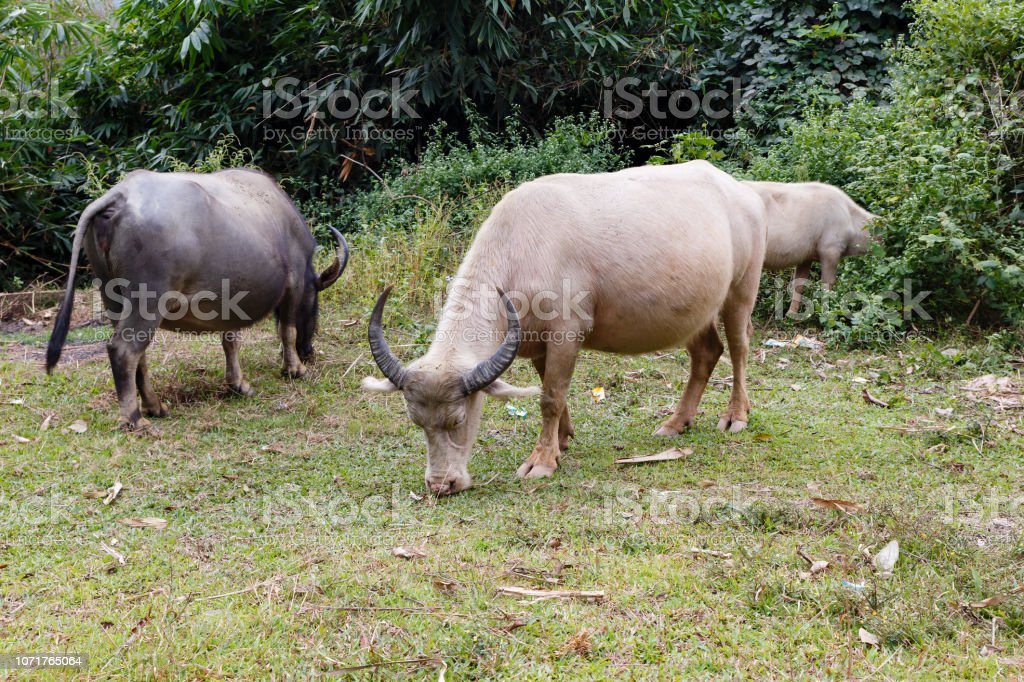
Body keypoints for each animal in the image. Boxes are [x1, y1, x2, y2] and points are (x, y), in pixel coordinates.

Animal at [46, 166, 350, 428]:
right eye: (314, 305)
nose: (308, 352)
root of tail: (119, 197)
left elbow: (231, 341)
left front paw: (239, 385)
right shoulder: (294, 285)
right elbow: (287, 330)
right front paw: (295, 369)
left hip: (113, 299)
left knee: (137, 354)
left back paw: (155, 406)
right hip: (147, 302)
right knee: (124, 350)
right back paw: (136, 418)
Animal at [364, 161, 765, 497]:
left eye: (458, 419)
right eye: (417, 422)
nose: (440, 484)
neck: (519, 254)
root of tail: (740, 191)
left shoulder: (566, 334)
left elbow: (550, 398)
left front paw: (540, 461)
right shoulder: (534, 342)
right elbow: (549, 389)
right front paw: (562, 440)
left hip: (741, 289)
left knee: (739, 349)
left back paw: (735, 416)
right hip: (697, 310)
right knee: (706, 353)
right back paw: (676, 423)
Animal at [741, 179, 876, 315]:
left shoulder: (805, 256)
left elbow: (799, 284)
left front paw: (791, 314)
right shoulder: (831, 249)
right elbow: (827, 285)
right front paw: (826, 313)